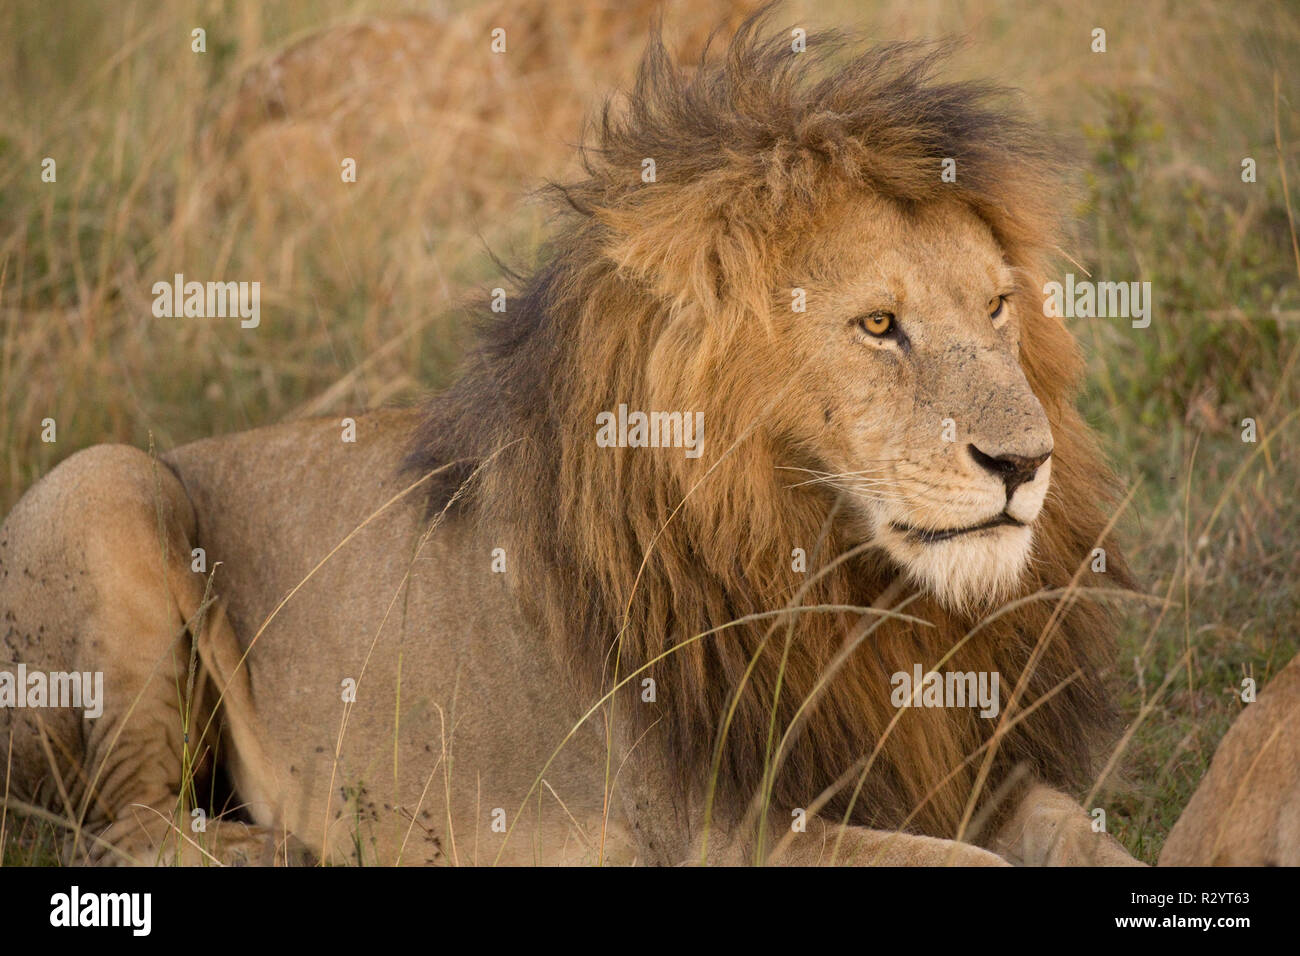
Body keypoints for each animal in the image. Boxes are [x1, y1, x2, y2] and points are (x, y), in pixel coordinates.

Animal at [0, 15, 1143, 866]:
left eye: (997, 306)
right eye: (877, 326)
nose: (1024, 463)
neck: (843, 577)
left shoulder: (964, 767)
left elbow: (1078, 834)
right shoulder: (729, 829)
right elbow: (972, 861)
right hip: (111, 480)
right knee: (121, 828)